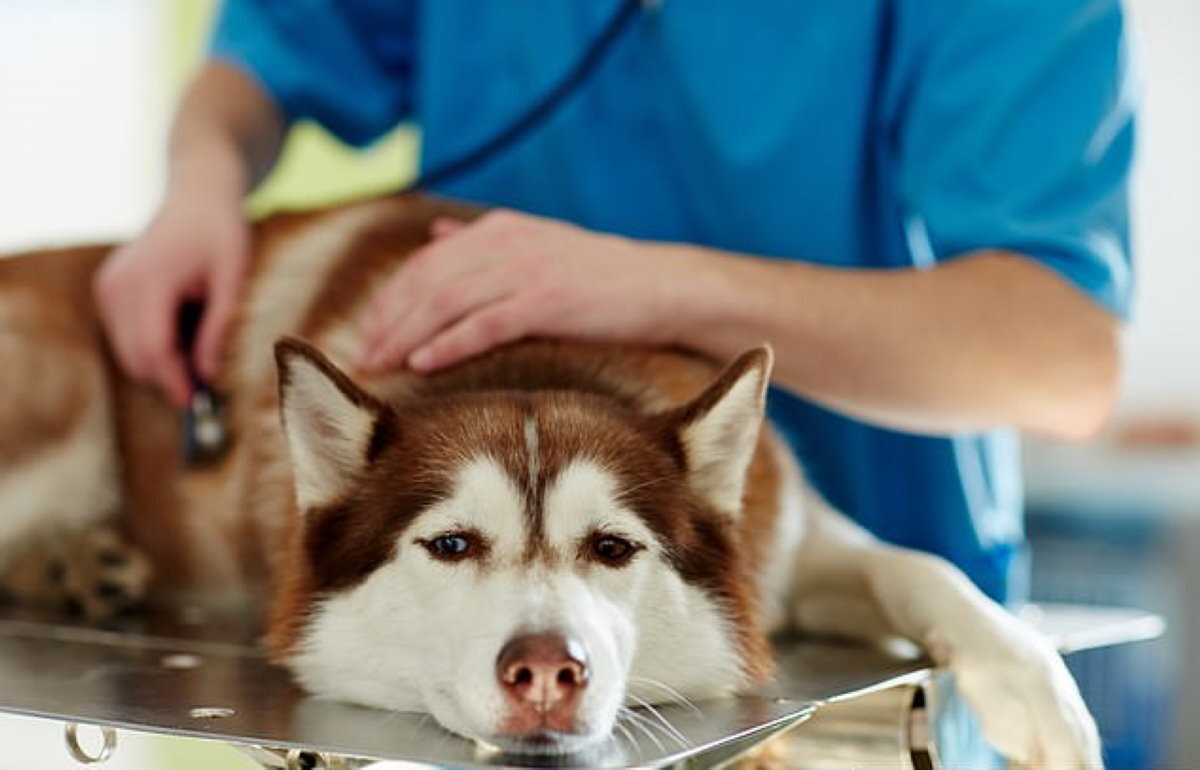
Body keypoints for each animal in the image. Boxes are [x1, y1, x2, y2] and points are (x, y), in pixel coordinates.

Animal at [0, 196, 1099, 762]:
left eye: (612, 547)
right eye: (450, 544)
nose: (544, 670)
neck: (535, 355)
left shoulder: (790, 536)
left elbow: (920, 567)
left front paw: (1035, 692)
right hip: (60, 391)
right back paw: (66, 563)